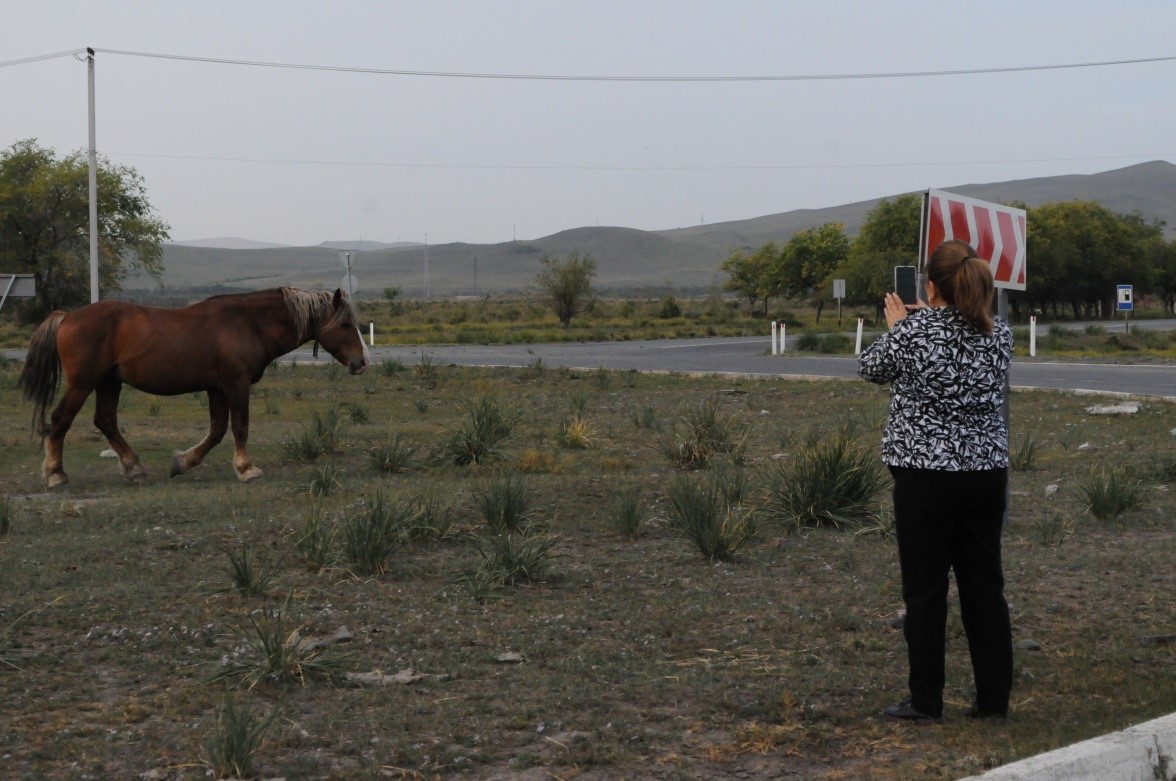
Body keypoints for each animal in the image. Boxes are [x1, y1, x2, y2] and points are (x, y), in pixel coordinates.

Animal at [18, 286, 366, 489]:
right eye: (345, 324)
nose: (361, 362)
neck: (246, 323)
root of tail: (67, 316)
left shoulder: (217, 389)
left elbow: (216, 431)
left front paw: (182, 463)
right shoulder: (236, 385)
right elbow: (239, 427)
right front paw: (246, 468)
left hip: (109, 383)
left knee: (105, 421)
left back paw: (133, 467)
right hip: (84, 383)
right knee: (61, 419)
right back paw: (56, 473)